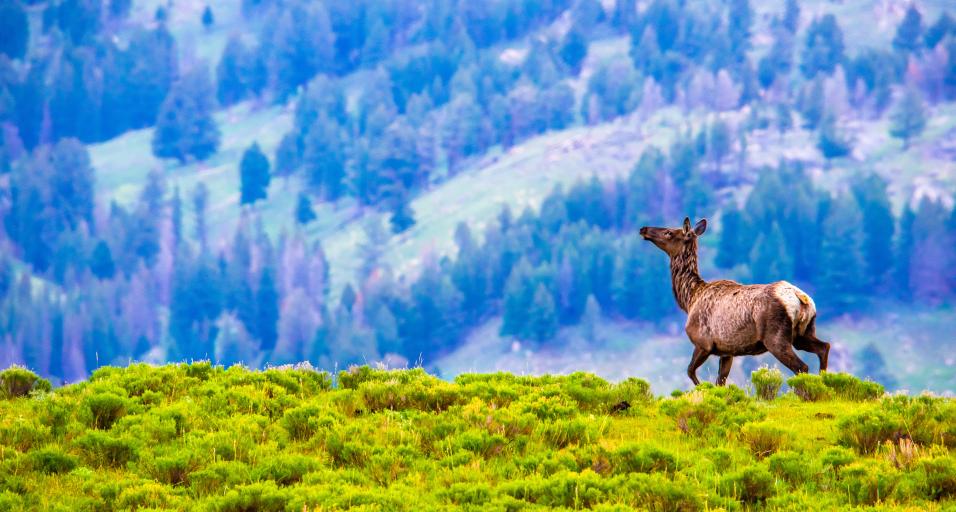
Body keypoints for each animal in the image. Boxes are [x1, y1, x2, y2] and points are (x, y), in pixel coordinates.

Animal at [640, 217, 830, 386]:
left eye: (669, 232)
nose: (644, 229)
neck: (690, 298)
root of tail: (802, 298)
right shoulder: (726, 351)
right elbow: (720, 382)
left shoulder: (703, 343)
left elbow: (690, 372)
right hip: (803, 333)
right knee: (824, 347)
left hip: (776, 337)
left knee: (802, 366)